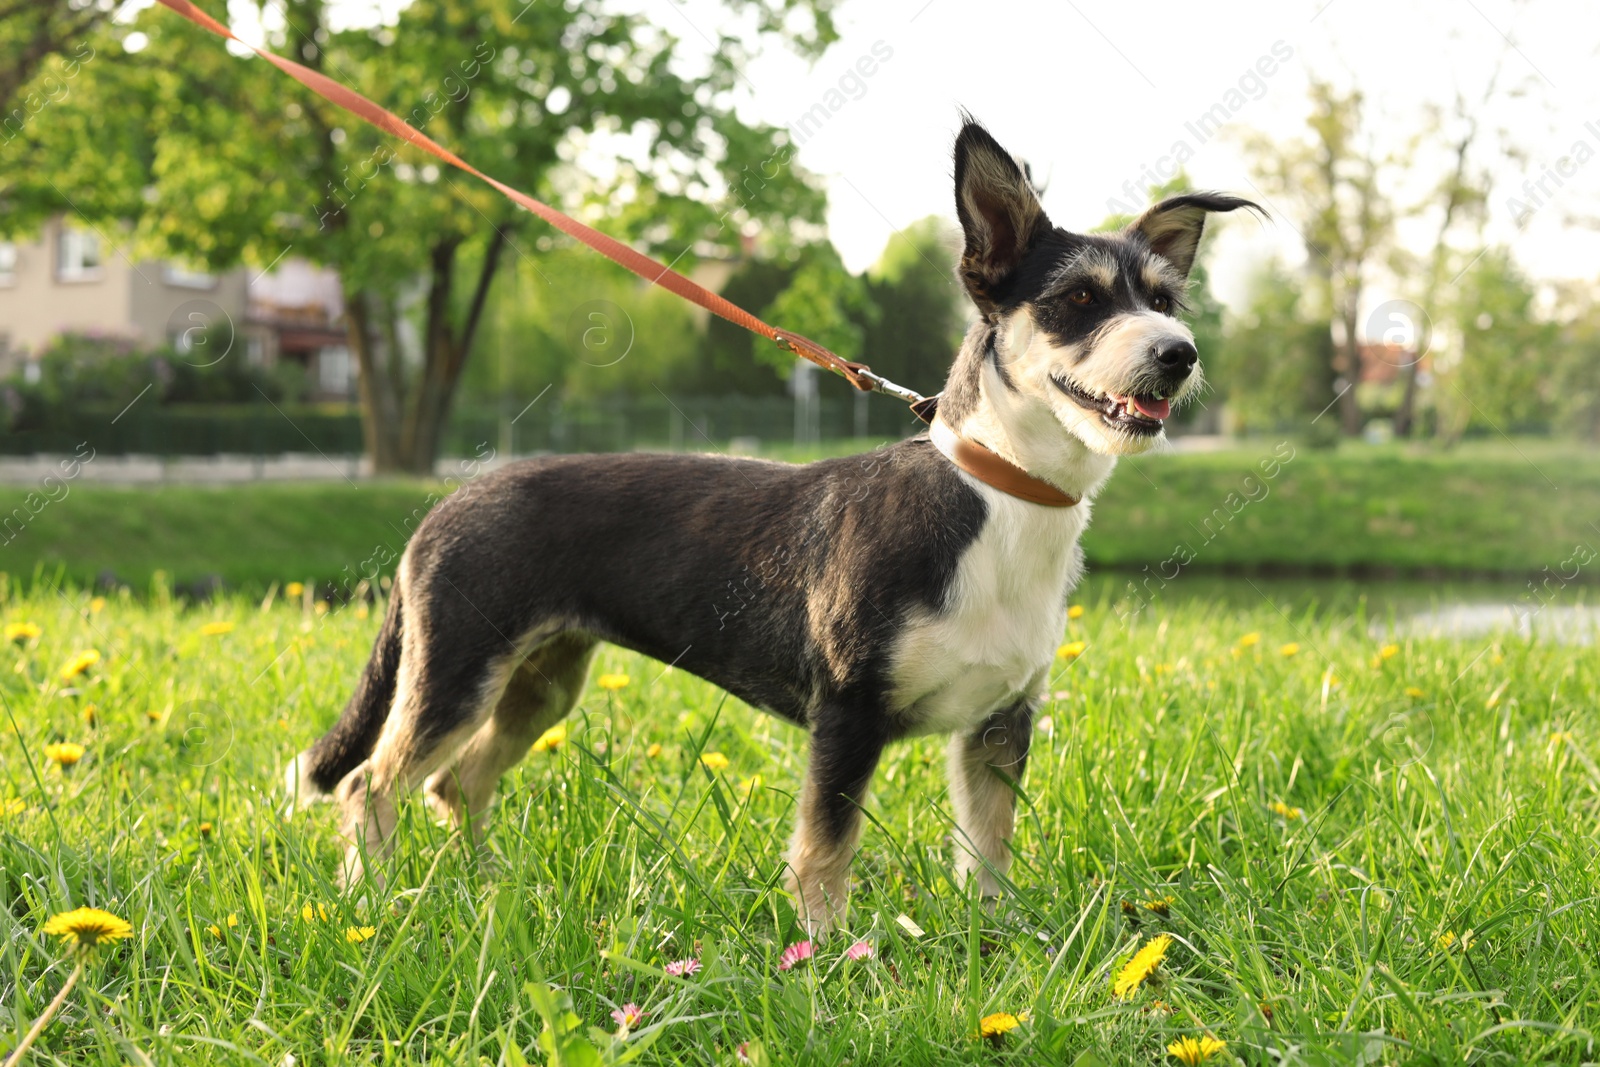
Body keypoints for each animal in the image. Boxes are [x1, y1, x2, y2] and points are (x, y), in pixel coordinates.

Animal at [291, 119, 1260, 934]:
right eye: (1078, 300)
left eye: (1167, 300)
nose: (1179, 354)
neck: (997, 499)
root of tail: (444, 506)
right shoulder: (846, 716)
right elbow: (824, 852)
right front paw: (826, 958)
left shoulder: (997, 728)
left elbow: (986, 853)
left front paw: (997, 944)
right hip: (457, 672)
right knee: (373, 784)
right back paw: (371, 904)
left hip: (541, 680)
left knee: (456, 782)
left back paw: (485, 889)